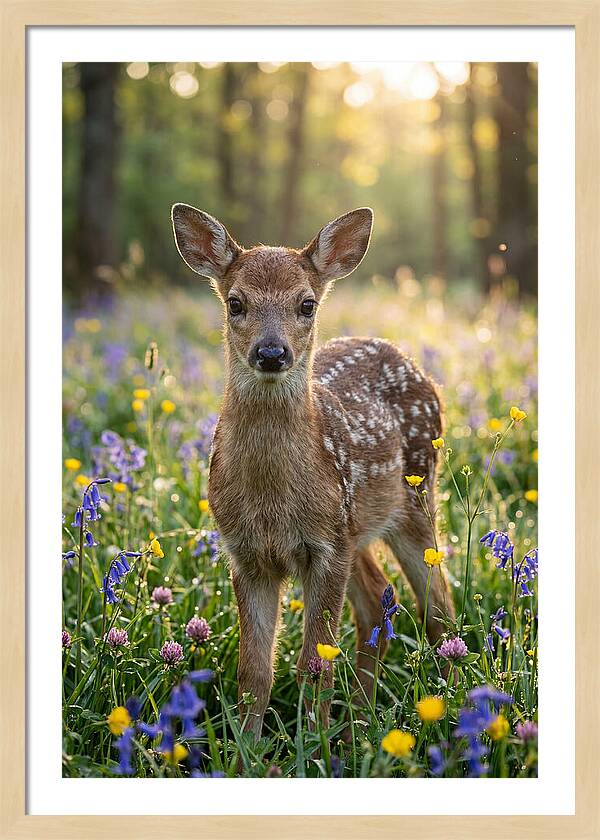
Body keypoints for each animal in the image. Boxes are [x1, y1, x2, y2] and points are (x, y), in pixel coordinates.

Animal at [171, 203, 454, 742]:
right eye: (235, 303)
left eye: (306, 304)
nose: (271, 352)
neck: (272, 498)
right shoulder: (246, 552)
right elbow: (254, 670)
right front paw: (247, 749)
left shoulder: (325, 547)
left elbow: (314, 663)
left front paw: (313, 746)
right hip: (357, 527)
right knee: (378, 601)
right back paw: (360, 723)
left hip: (413, 498)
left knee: (439, 609)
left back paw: (450, 713)